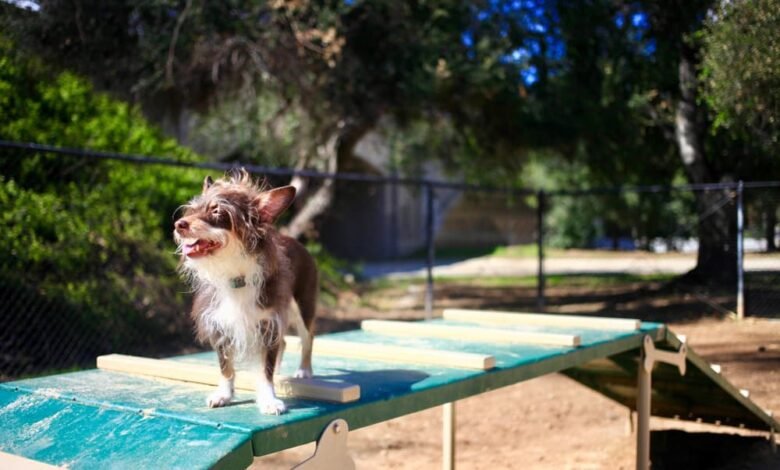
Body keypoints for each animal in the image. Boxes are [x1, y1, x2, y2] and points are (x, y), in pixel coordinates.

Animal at [174, 169, 316, 414]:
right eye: (192, 210)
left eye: (217, 210)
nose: (178, 224)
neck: (235, 275)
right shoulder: (220, 325)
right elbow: (226, 367)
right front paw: (224, 395)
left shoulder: (268, 323)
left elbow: (265, 370)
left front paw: (269, 399)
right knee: (284, 343)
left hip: (303, 309)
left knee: (307, 339)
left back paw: (304, 370)